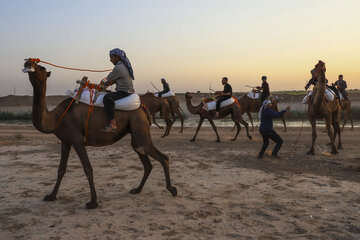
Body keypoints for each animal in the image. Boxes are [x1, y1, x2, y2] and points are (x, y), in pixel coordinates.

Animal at [21, 59, 176, 208]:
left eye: (41, 67)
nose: (28, 62)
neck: (56, 117)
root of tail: (142, 107)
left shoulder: (77, 139)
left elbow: (88, 169)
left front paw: (93, 202)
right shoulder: (65, 141)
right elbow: (61, 169)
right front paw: (51, 196)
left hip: (139, 126)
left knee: (162, 157)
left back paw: (172, 189)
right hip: (136, 133)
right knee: (145, 160)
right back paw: (137, 189)